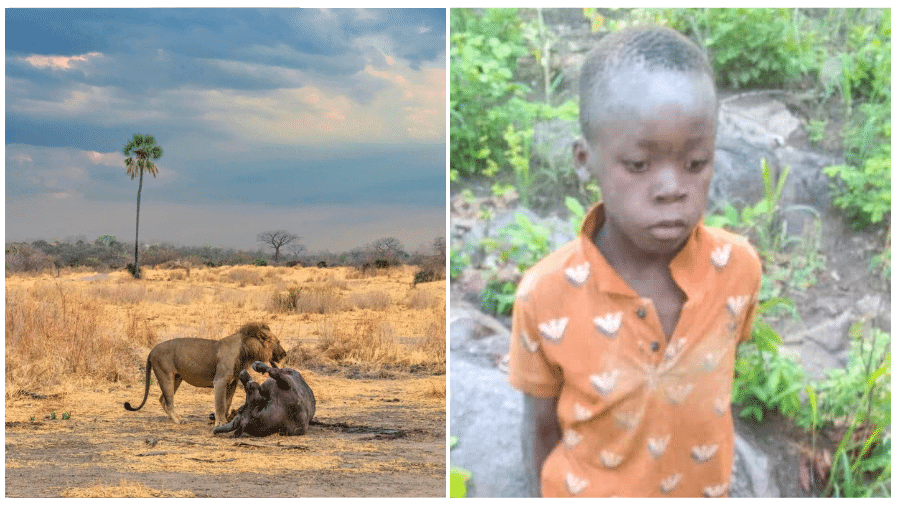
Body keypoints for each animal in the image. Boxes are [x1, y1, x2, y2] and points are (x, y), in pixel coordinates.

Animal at [123, 322, 284, 424]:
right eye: (277, 342)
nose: (284, 354)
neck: (245, 350)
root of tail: (151, 351)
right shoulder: (220, 381)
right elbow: (220, 404)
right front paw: (220, 422)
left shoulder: (232, 383)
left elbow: (227, 402)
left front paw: (226, 419)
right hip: (165, 375)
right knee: (168, 401)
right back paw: (179, 420)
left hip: (176, 379)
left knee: (162, 399)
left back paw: (174, 418)